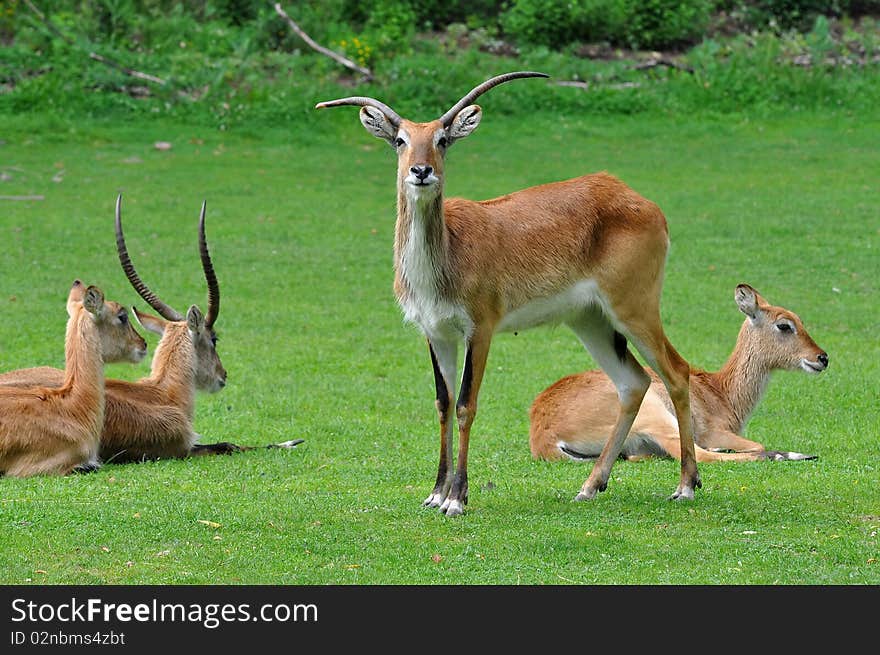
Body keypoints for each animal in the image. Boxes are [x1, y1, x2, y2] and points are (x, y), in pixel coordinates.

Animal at [316, 70, 700, 512]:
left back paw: (687, 485)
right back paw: (590, 486)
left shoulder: (479, 329)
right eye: (400, 139)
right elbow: (442, 403)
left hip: (633, 308)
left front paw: (457, 499)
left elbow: (466, 404)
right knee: (632, 382)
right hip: (590, 320)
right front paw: (435, 493)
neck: (447, 252)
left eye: (442, 139)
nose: (421, 170)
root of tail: (638, 199)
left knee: (676, 371)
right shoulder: (436, 332)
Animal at [532, 284, 828, 464]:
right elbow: (754, 444)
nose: (822, 357)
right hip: (655, 414)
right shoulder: (714, 431)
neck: (721, 393)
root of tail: (544, 436)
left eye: (800, 320)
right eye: (784, 325)